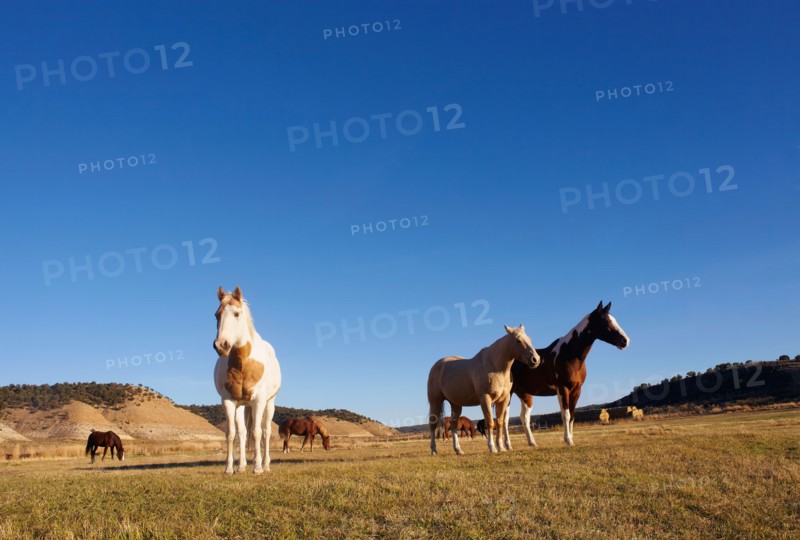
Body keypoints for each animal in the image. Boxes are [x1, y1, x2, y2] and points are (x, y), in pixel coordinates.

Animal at [213, 286, 281, 474]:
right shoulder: (228, 401)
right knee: (242, 433)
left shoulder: (258, 401)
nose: (221, 345)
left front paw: (257, 467)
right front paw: (229, 468)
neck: (243, 364)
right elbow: (231, 434)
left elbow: (257, 433)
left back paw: (266, 465)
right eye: (216, 315)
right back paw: (241, 465)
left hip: (269, 404)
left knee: (265, 432)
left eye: (237, 313)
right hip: (241, 406)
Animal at [427, 324, 541, 455]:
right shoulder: (485, 398)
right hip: (435, 401)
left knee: (454, 424)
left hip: (455, 403)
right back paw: (433, 450)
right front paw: (492, 448)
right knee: (432, 425)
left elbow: (500, 422)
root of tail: (437, 365)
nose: (536, 359)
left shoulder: (503, 399)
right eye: (518, 340)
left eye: (529, 339)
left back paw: (458, 450)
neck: (495, 367)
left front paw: (501, 447)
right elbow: (490, 423)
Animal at [509, 301, 630, 448]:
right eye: (605, 321)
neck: (569, 354)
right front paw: (568, 440)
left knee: (524, 417)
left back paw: (532, 443)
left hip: (525, 394)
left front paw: (571, 439)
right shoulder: (563, 389)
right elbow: (565, 415)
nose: (625, 341)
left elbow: (571, 416)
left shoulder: (576, 390)